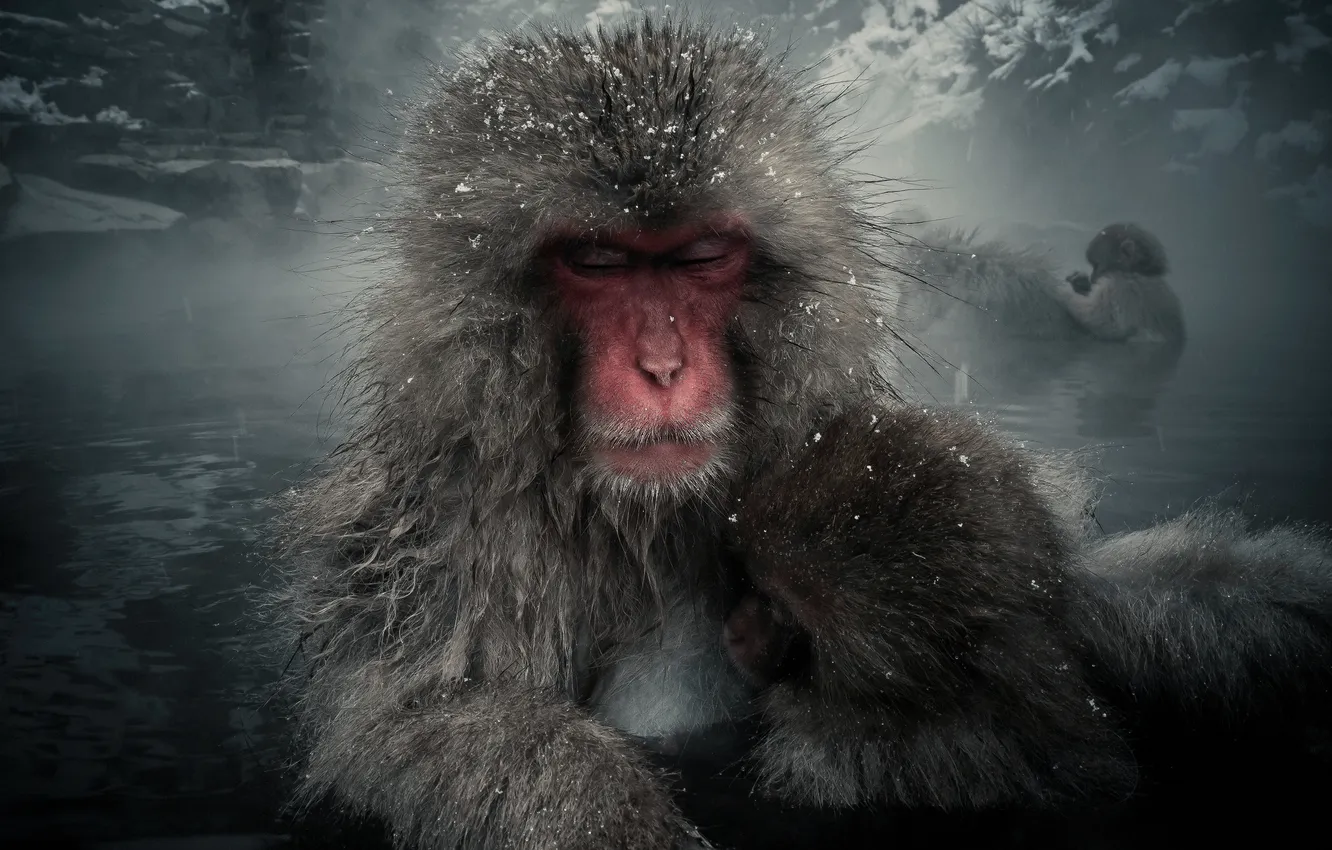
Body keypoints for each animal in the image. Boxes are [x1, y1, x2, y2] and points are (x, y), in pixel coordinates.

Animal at [270, 14, 1332, 850]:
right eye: (599, 261)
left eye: (700, 256)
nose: (664, 369)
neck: (647, 514)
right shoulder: (421, 534)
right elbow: (410, 723)